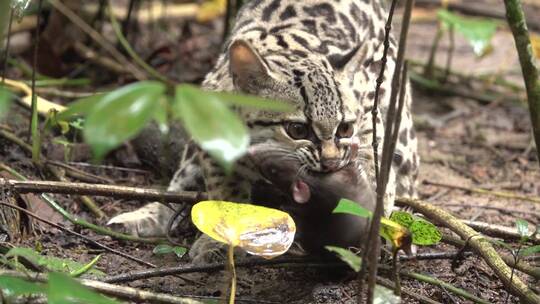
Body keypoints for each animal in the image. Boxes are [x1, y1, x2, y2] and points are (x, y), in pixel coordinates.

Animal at [107, 0, 420, 262]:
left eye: (345, 127)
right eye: (297, 129)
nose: (331, 162)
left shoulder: (369, 131)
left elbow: (377, 178)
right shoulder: (213, 133)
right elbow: (224, 189)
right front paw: (220, 237)